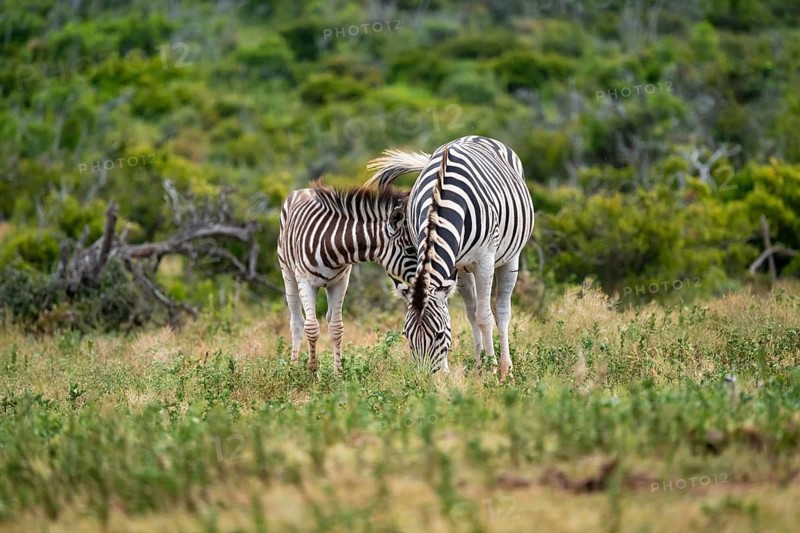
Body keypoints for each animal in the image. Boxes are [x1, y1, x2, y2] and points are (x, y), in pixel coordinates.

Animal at [278, 179, 423, 374]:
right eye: (409, 250)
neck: (333, 247)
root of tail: (302, 190)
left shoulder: (340, 282)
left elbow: (336, 327)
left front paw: (337, 373)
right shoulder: (306, 281)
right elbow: (312, 327)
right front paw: (312, 370)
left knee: (329, 319)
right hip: (288, 273)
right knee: (297, 322)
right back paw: (293, 368)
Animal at [366, 136, 535, 381]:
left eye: (438, 335)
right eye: (407, 336)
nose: (425, 380)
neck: (441, 204)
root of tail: (476, 136)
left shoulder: (484, 261)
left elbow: (485, 317)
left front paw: (492, 369)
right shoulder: (449, 264)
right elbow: (453, 314)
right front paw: (452, 371)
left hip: (510, 256)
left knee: (502, 311)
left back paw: (505, 370)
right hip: (463, 268)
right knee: (471, 312)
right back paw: (479, 364)